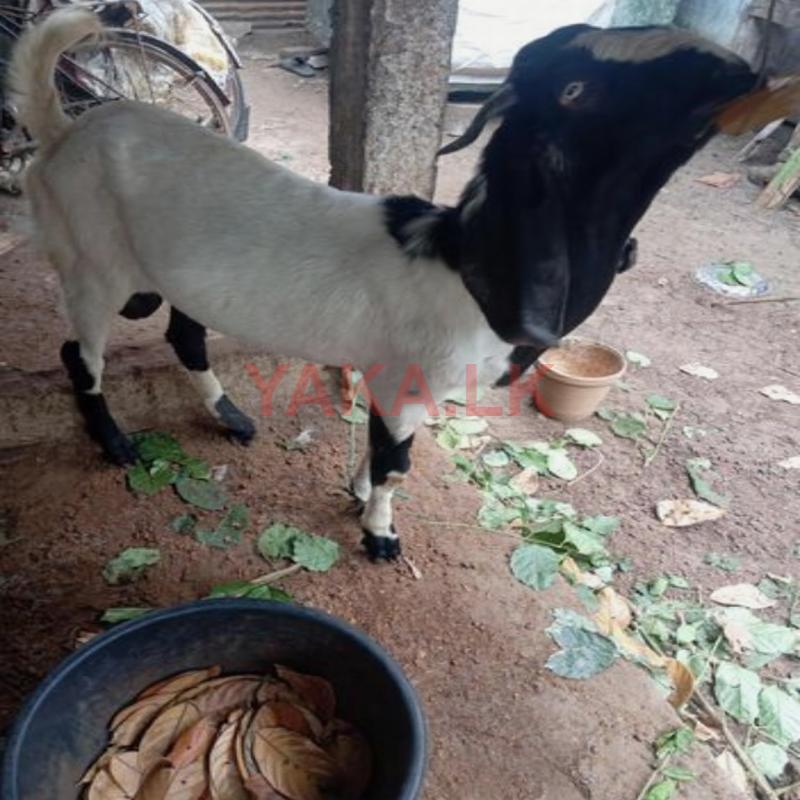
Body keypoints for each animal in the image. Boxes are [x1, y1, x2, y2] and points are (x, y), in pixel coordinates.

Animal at [9, 10, 793, 560]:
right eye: (579, 90)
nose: (738, 72)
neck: (460, 260)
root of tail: (63, 132)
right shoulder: (406, 378)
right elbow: (397, 464)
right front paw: (378, 533)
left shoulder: (397, 382)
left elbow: (384, 448)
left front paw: (358, 493)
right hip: (94, 265)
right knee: (79, 354)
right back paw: (115, 443)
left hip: (173, 276)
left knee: (184, 334)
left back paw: (230, 416)